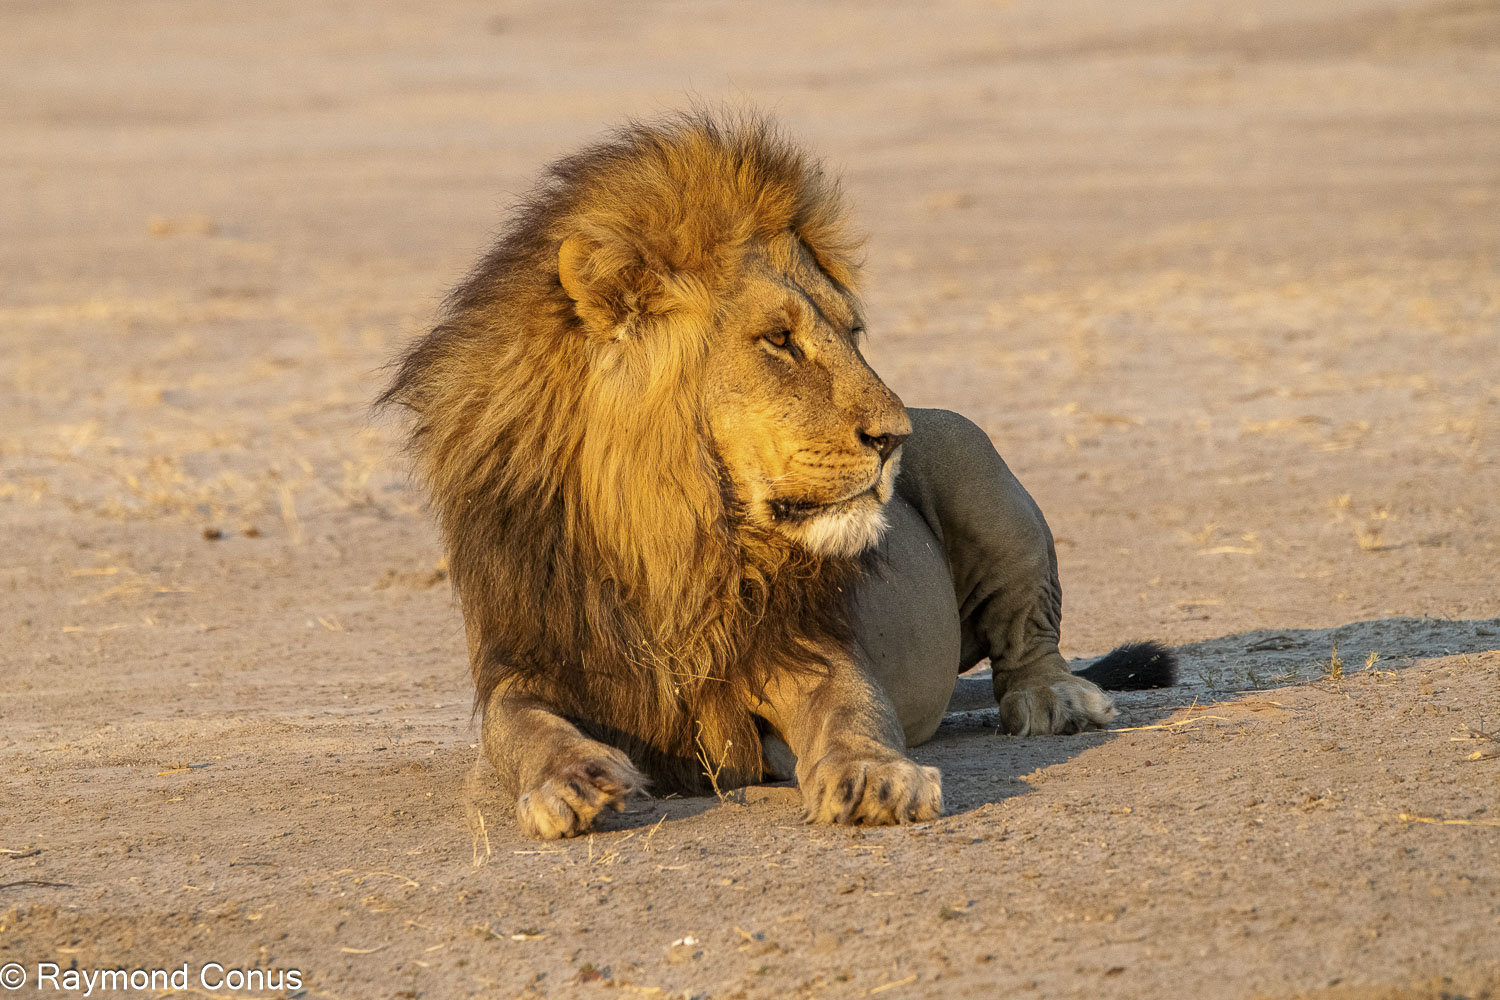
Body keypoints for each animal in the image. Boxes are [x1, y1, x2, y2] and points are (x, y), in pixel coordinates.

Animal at [381, 112, 1175, 839]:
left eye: (851, 333)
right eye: (779, 340)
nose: (894, 438)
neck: (673, 530)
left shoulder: (803, 644)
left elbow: (853, 710)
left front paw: (875, 777)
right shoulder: (529, 660)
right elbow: (521, 729)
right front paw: (569, 779)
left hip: (977, 460)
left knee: (1028, 640)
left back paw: (1055, 702)